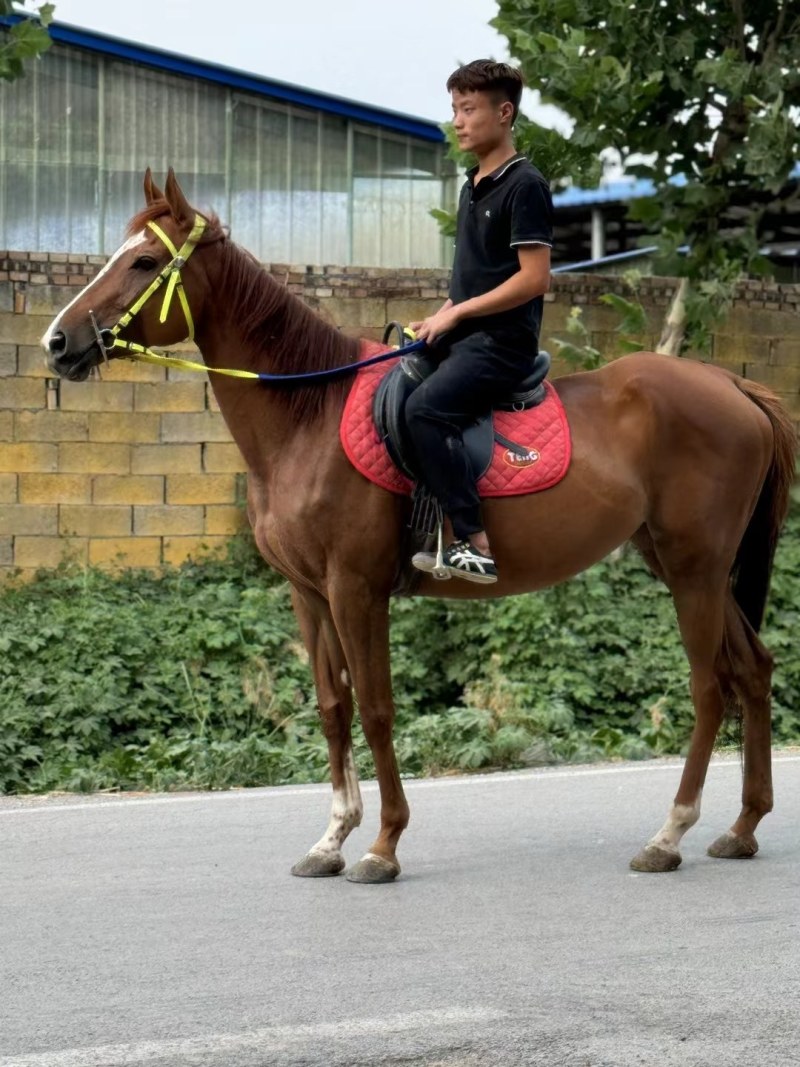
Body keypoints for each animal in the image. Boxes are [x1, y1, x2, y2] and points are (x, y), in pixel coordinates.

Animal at [42, 168, 797, 883]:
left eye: (144, 262)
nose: (57, 342)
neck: (308, 416)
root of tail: (733, 386)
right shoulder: (308, 593)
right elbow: (333, 706)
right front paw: (331, 838)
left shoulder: (356, 589)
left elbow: (377, 707)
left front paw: (382, 843)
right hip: (688, 566)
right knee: (752, 669)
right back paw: (743, 825)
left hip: (695, 569)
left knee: (709, 686)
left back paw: (670, 834)